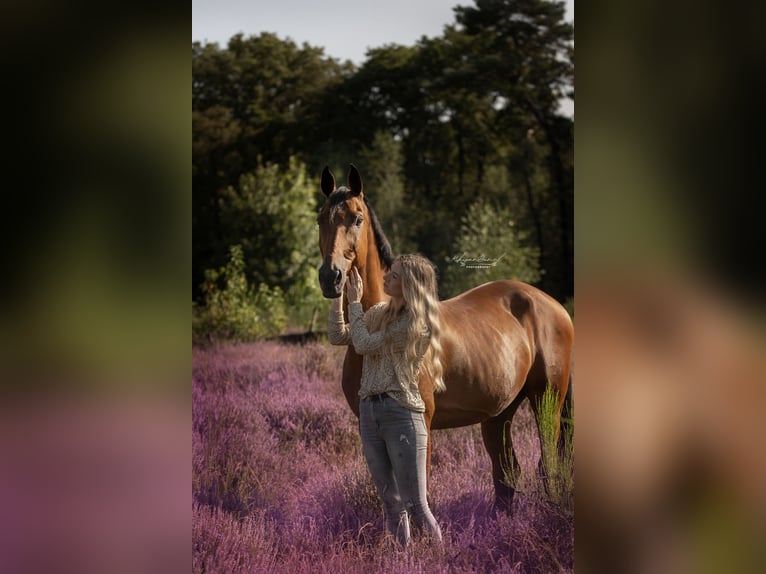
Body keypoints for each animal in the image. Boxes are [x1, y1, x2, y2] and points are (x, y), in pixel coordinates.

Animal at [317, 164, 574, 511]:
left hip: (547, 400)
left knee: (548, 466)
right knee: (506, 473)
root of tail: (554, 306)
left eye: (357, 218)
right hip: (500, 413)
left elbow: (419, 491)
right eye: (320, 218)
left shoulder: (421, 424)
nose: (331, 277)